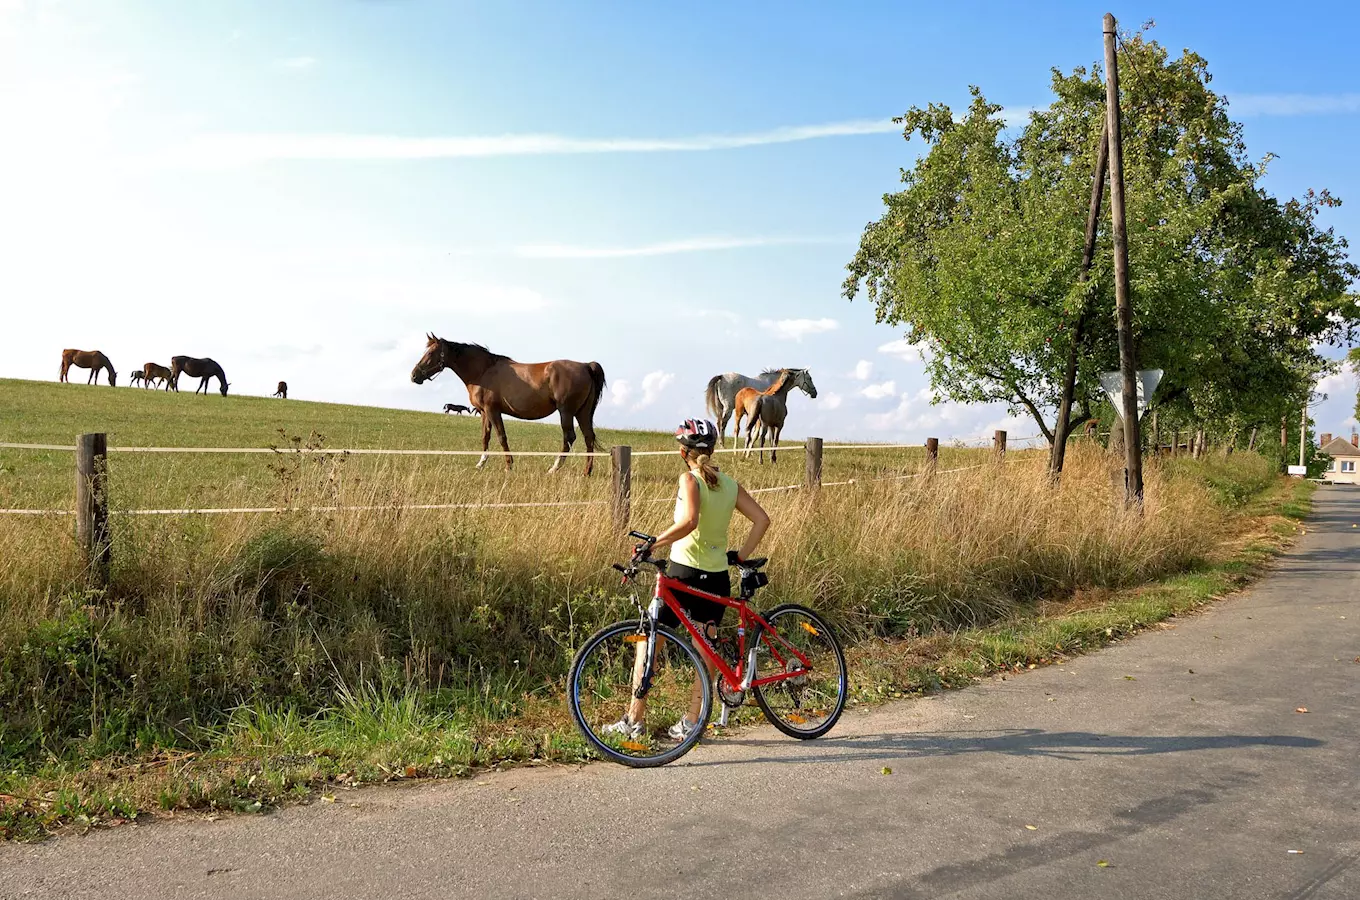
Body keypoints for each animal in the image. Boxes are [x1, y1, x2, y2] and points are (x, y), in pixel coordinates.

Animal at [410, 337, 609, 478]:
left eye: (431, 353)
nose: (414, 375)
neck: (483, 372)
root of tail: (586, 366)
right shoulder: (484, 412)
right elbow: (485, 437)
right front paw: (480, 464)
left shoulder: (493, 411)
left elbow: (501, 437)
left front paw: (508, 466)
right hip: (583, 412)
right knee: (588, 437)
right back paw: (586, 472)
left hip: (566, 412)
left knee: (569, 438)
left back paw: (553, 469)